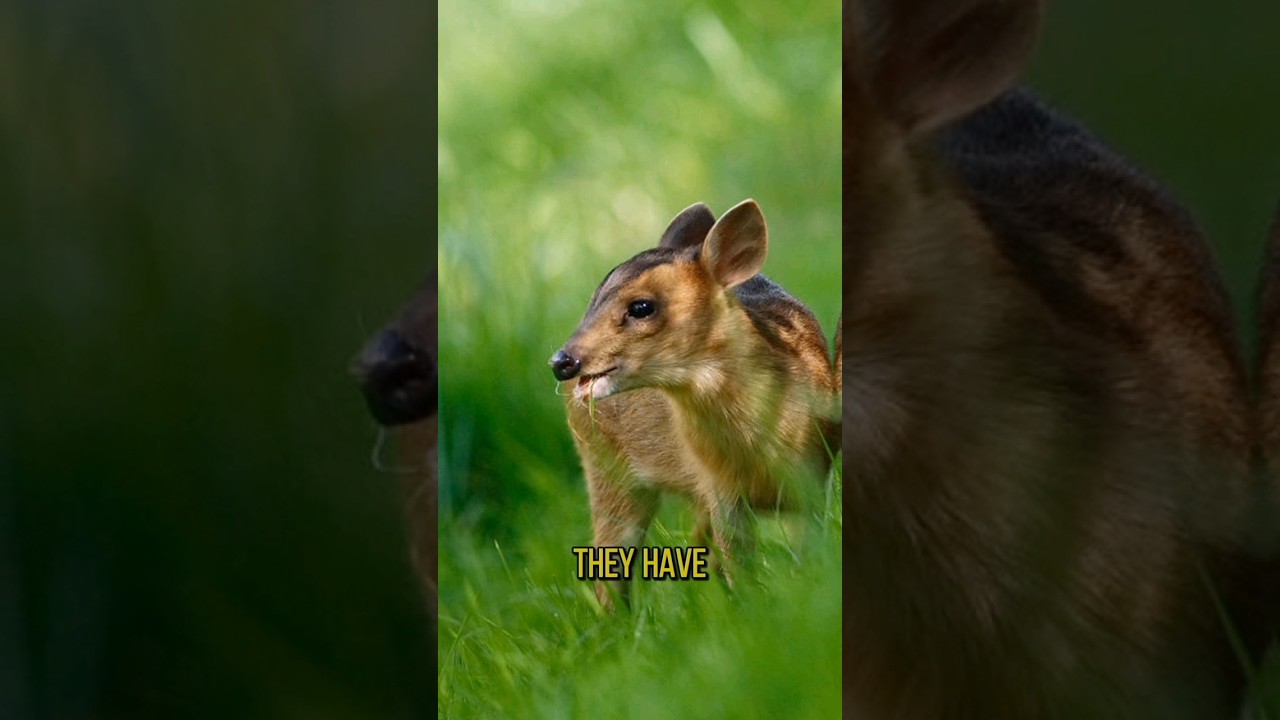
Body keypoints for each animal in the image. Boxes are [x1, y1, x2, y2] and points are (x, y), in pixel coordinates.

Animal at [549, 199, 840, 610]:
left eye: (641, 306)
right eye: (593, 298)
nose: (562, 362)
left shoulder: (814, 476)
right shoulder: (721, 491)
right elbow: (738, 563)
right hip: (606, 467)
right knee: (611, 567)